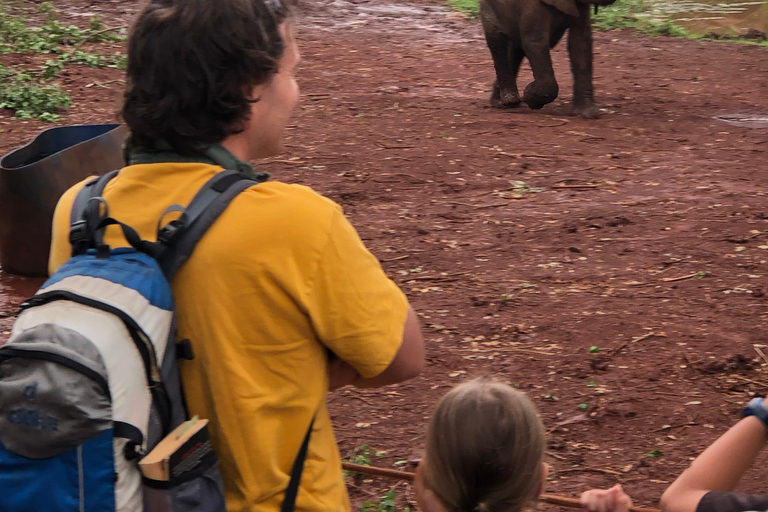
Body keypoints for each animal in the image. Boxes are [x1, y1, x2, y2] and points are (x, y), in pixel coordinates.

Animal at [480, 0, 616, 118]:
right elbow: (535, 42)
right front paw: (529, 97)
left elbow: (580, 42)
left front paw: (587, 114)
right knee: (498, 40)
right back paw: (509, 101)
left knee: (515, 48)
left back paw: (502, 103)